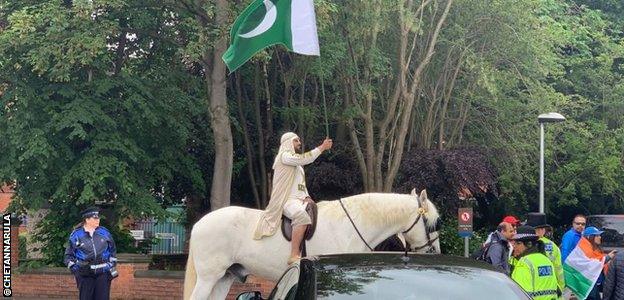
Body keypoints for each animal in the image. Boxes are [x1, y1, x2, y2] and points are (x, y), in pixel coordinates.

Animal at [183, 189, 442, 298]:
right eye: (431, 224)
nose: (434, 251)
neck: (354, 223)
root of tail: (200, 223)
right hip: (209, 277)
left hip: (224, 278)